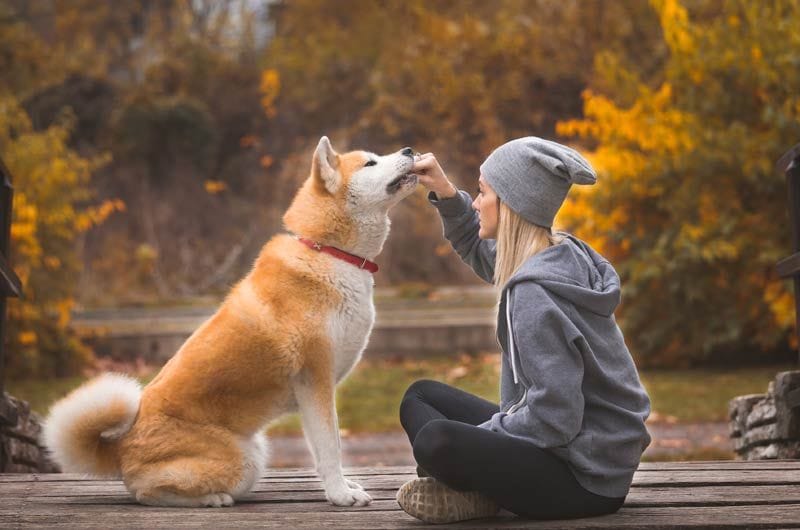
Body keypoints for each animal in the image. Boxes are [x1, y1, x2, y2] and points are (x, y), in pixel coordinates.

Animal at [42, 137, 418, 508]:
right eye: (370, 162)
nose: (410, 150)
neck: (328, 251)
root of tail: (121, 448)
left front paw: (343, 487)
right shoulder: (316, 381)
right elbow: (330, 447)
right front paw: (340, 495)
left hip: (256, 451)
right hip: (244, 461)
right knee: (145, 492)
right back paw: (212, 498)